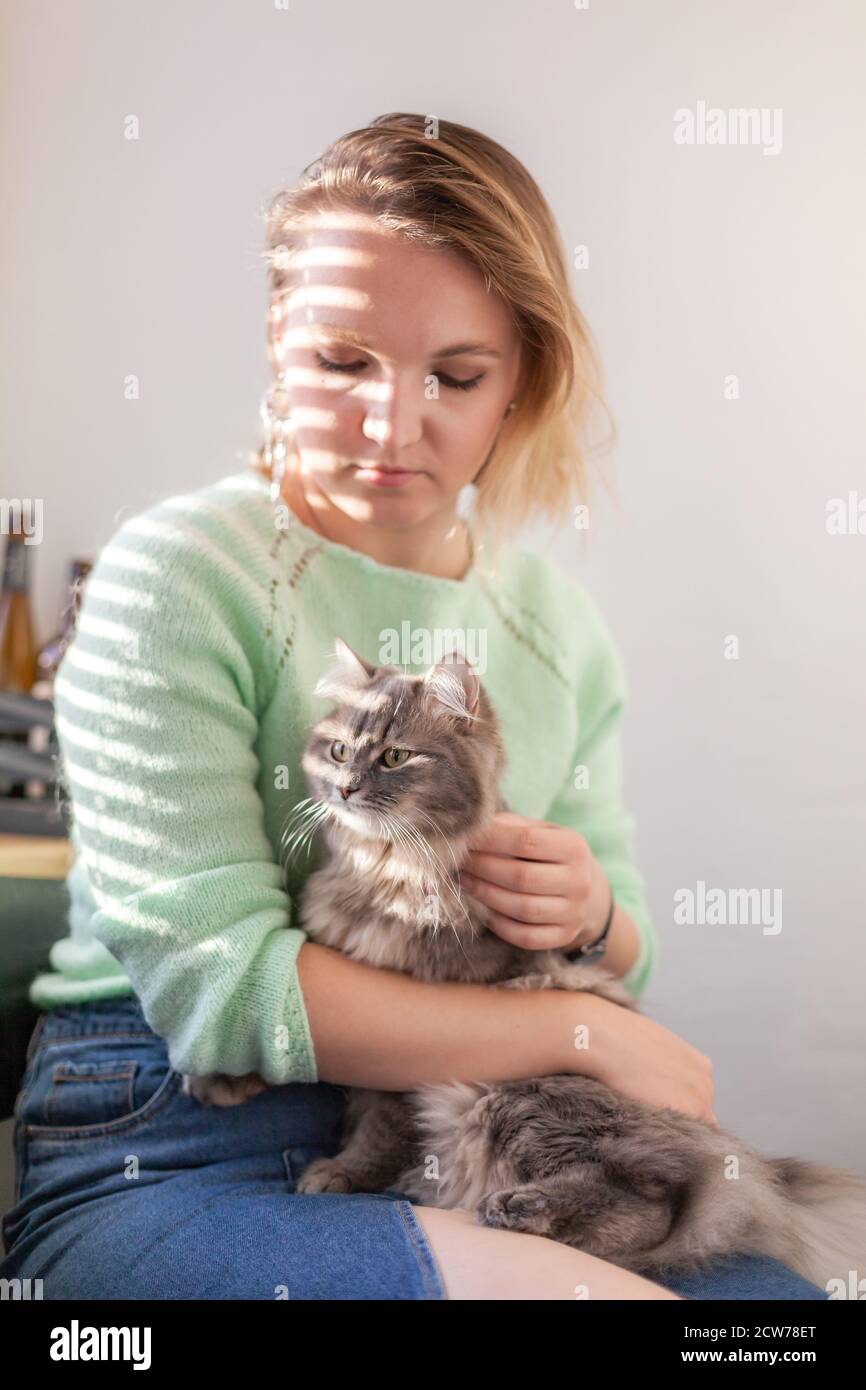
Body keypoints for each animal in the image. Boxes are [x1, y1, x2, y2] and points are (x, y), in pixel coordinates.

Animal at [186, 636, 866, 1284]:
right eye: (337, 751)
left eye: (395, 758)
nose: (347, 787)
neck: (386, 875)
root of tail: (736, 1162)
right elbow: (288, 1039)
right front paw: (219, 1077)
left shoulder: (411, 1038)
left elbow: (380, 1127)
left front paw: (342, 1171)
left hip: (518, 1099)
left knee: (653, 1206)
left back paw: (520, 1208)